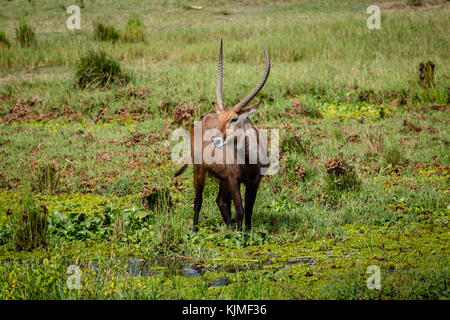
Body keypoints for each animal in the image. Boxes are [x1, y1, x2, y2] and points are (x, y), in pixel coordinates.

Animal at [174, 39, 268, 232]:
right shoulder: (234, 180)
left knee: (221, 201)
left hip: (222, 179)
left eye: (234, 118)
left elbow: (249, 210)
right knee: (198, 201)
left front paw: (247, 231)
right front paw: (241, 235)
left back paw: (229, 227)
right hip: (200, 170)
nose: (215, 140)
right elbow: (240, 209)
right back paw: (195, 229)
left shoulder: (253, 182)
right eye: (220, 117)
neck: (248, 159)